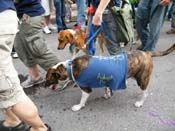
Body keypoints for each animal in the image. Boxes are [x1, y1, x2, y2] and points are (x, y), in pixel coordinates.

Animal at [45, 43, 175, 111]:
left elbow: (82, 99)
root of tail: (146, 53)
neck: (70, 67)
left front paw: (79, 106)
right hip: (137, 76)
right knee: (144, 89)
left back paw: (140, 102)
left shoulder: (86, 89)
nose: (44, 85)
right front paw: (107, 94)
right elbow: (107, 88)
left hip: (142, 77)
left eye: (48, 79)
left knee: (146, 92)